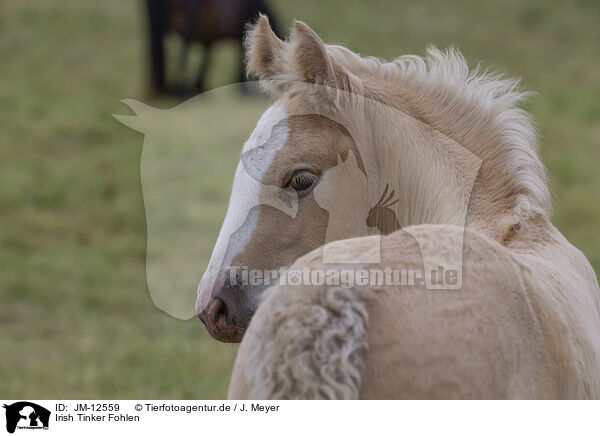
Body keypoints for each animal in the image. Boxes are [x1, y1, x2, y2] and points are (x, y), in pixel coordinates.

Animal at [144, 0, 280, 96]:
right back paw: (179, 91)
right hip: (186, 27)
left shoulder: (209, 40)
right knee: (183, 54)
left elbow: (205, 61)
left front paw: (200, 87)